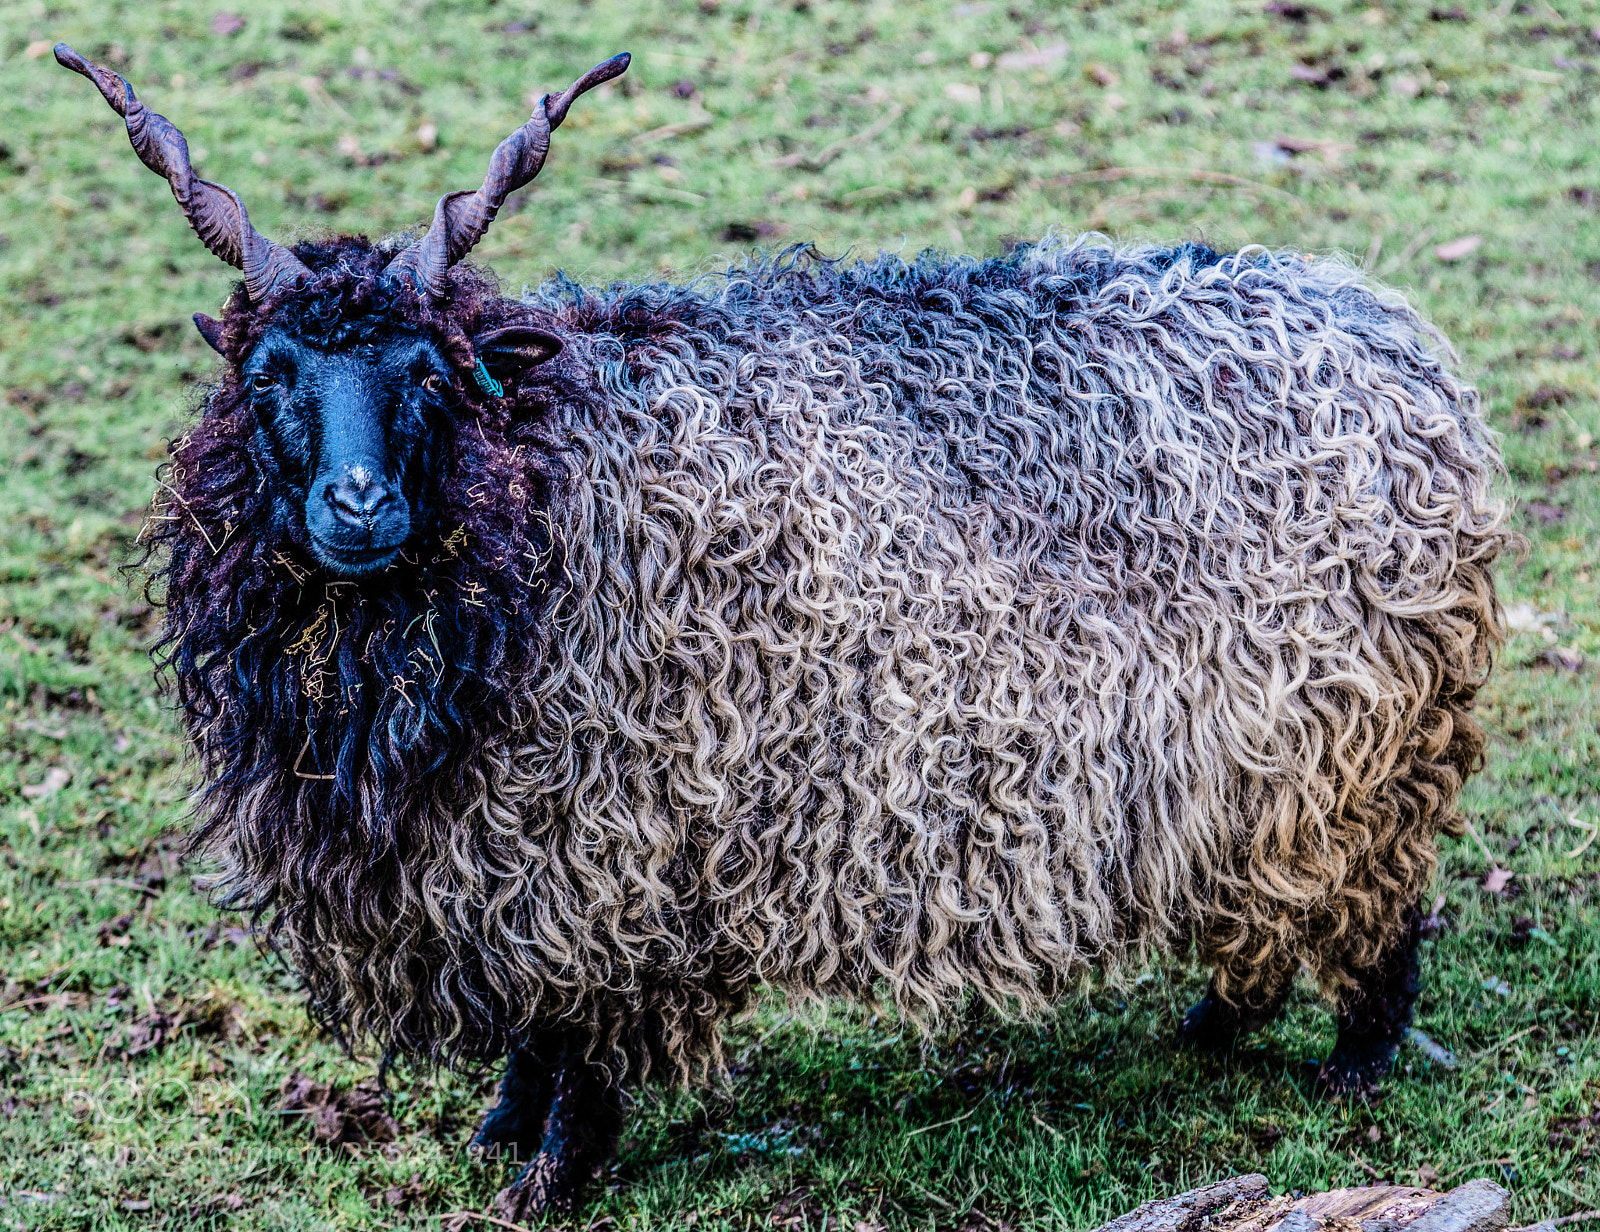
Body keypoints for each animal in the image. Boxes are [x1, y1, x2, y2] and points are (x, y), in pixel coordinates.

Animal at [57, 43, 1509, 1220]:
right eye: (268, 375)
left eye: (429, 375)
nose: (358, 506)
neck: (543, 492)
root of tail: (1396, 344)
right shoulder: (500, 855)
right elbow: (532, 1022)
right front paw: (501, 1130)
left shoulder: (611, 848)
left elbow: (581, 1032)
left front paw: (553, 1176)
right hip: (1261, 773)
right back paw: (1209, 1027)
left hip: (1350, 752)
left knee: (1381, 911)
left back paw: (1352, 1067)